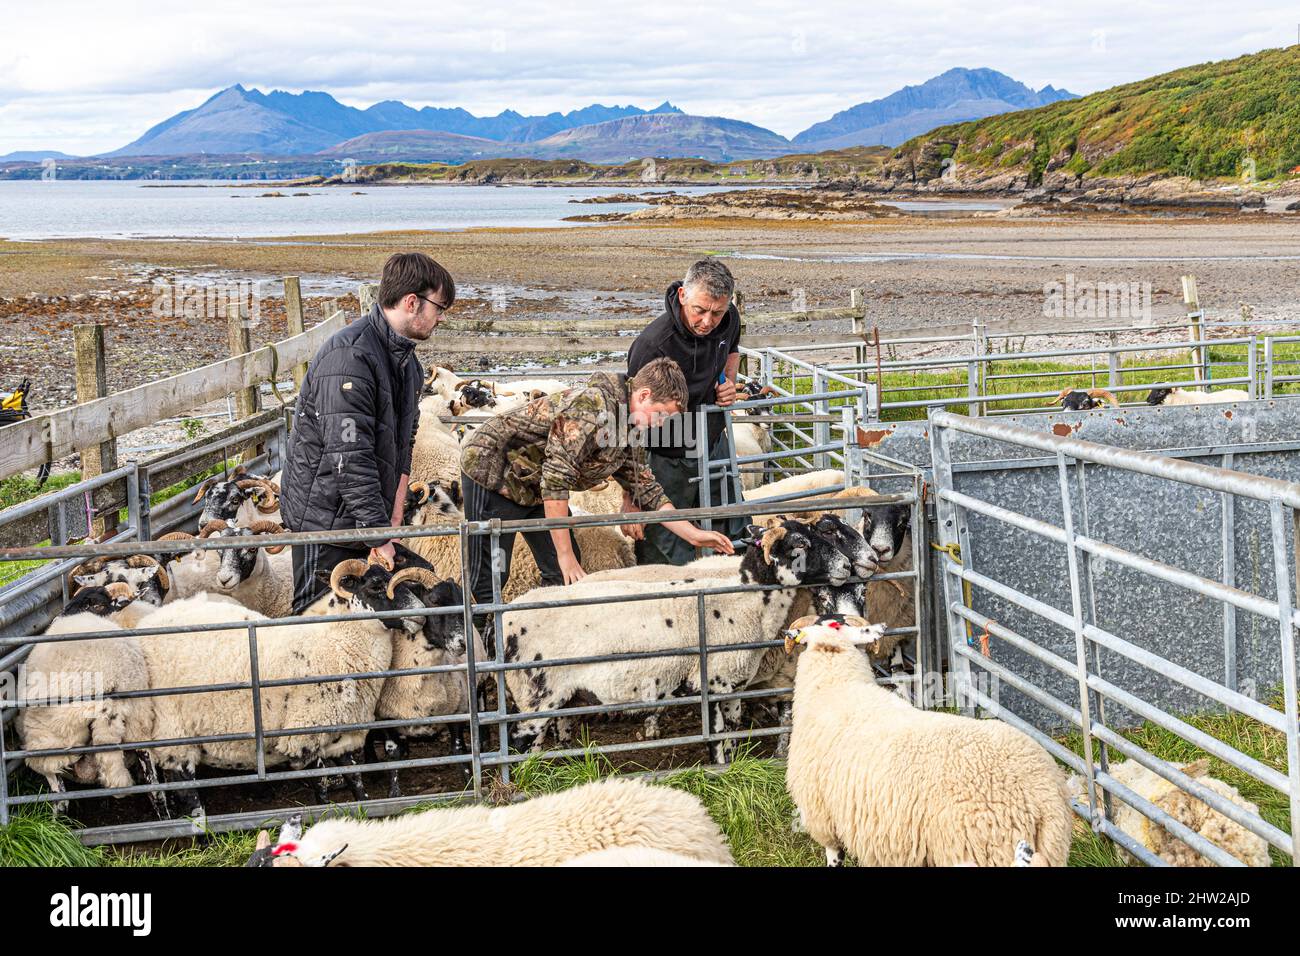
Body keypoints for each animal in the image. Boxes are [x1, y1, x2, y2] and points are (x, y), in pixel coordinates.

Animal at [499, 515, 852, 764]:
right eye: (799, 545)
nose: (847, 565)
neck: (747, 602)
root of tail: (506, 618)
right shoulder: (712, 684)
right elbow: (717, 739)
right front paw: (719, 768)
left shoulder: (733, 686)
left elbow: (732, 734)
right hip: (534, 697)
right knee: (518, 743)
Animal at [774, 616, 1071, 868]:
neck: (837, 683)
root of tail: (1040, 795)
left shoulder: (821, 815)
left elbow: (834, 855)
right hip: (1052, 846)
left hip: (982, 848)